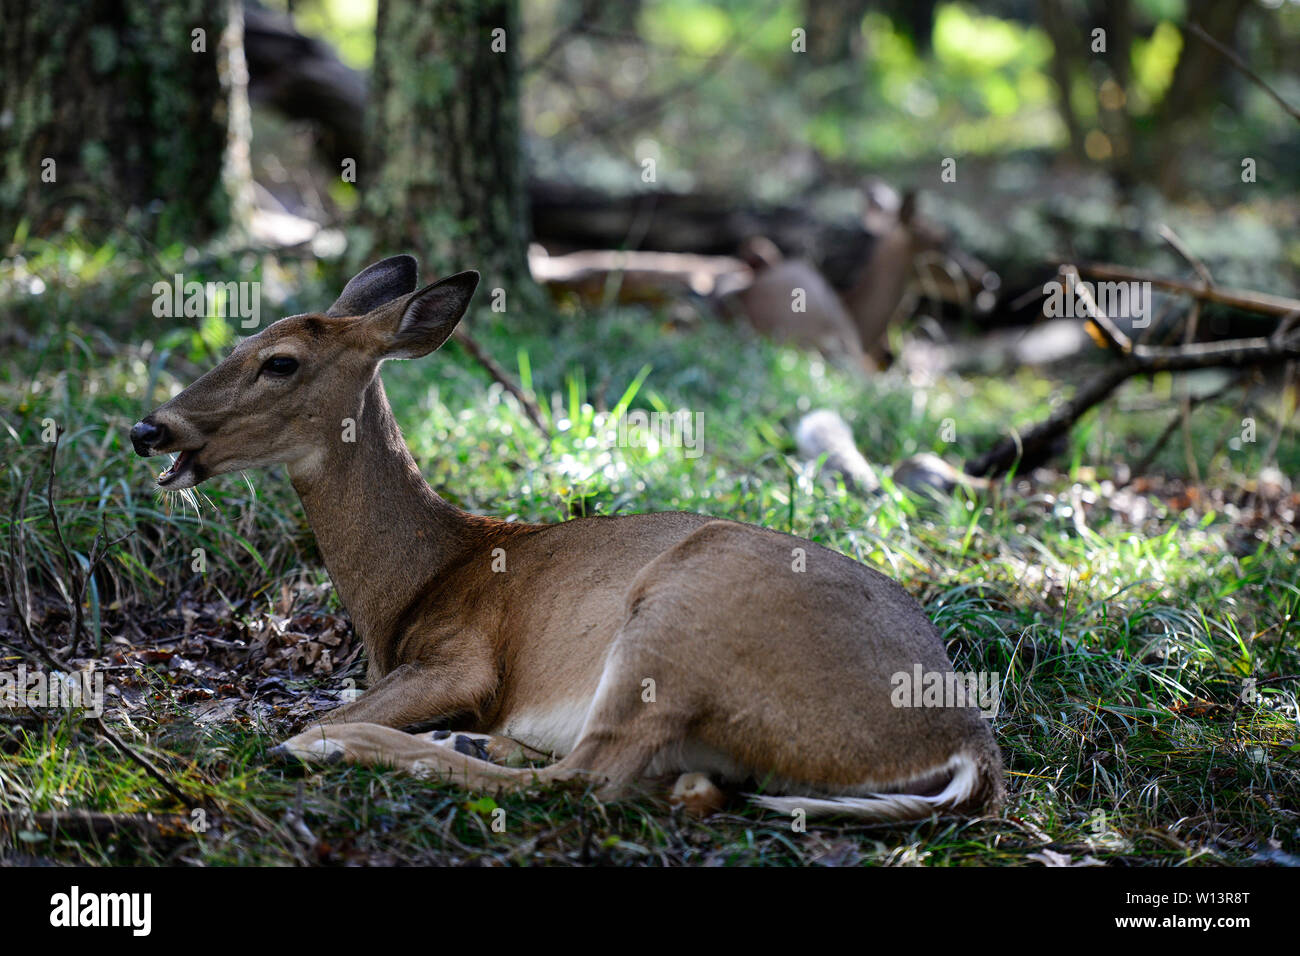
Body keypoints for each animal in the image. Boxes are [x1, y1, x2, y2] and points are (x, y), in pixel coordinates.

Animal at [129, 255, 1003, 821]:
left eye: (280, 362)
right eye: (237, 342)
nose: (149, 427)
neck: (416, 579)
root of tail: (970, 744)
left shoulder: (465, 656)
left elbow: (319, 712)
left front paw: (307, 737)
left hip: (685, 615)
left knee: (587, 779)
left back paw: (351, 751)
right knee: (672, 785)